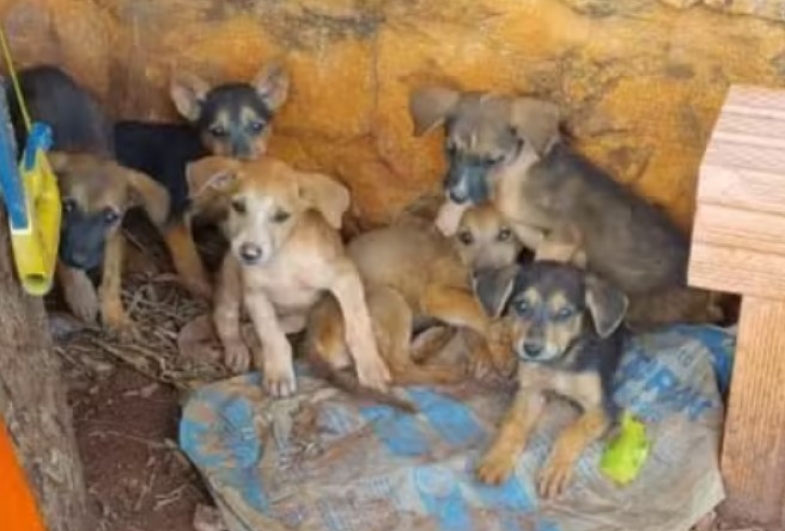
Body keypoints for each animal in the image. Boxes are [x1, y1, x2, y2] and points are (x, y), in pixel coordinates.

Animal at [115, 61, 290, 300]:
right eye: (217, 131)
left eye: (257, 126)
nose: (243, 162)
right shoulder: (173, 214)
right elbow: (189, 261)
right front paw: (206, 290)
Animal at [185, 156, 392, 396]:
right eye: (238, 206)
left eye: (282, 216)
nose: (249, 253)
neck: (282, 259)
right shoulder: (255, 295)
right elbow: (271, 335)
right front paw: (278, 373)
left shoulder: (345, 277)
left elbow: (358, 325)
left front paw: (371, 367)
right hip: (232, 275)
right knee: (224, 316)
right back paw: (237, 348)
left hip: (302, 313)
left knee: (253, 327)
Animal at [304, 197, 524, 410]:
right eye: (466, 237)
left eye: (505, 234)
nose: (485, 278)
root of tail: (311, 336)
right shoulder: (436, 294)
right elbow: (479, 313)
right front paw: (501, 349)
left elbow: (473, 325)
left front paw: (487, 352)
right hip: (390, 299)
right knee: (398, 369)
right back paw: (446, 373)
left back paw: (432, 341)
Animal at [410, 85, 724, 330]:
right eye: (451, 149)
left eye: (491, 159)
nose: (455, 194)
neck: (514, 175)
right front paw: (449, 214)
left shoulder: (564, 234)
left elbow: (542, 263)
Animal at [468, 262, 628, 498]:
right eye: (522, 306)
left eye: (565, 313)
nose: (531, 349)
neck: (556, 362)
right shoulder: (530, 392)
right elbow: (513, 425)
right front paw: (498, 458)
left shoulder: (603, 408)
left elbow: (572, 432)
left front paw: (555, 469)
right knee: (497, 326)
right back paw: (493, 356)